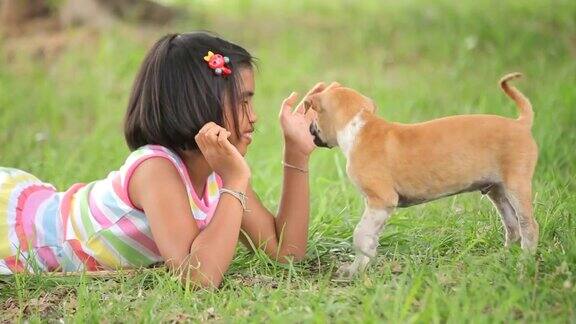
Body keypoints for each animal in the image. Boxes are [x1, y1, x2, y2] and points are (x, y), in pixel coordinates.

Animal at [308, 74, 536, 278]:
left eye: (314, 115)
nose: (310, 129)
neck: (359, 127)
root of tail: (520, 123)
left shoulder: (381, 201)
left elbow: (361, 236)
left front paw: (354, 271)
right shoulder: (377, 209)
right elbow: (370, 239)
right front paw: (362, 266)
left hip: (517, 187)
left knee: (529, 228)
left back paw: (524, 266)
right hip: (498, 191)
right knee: (513, 227)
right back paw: (503, 259)